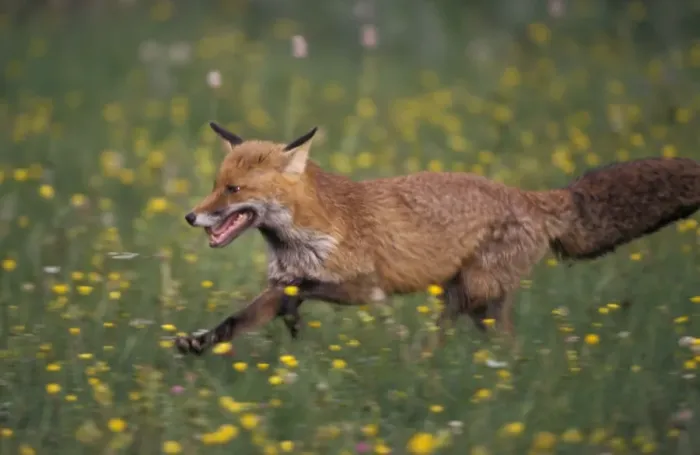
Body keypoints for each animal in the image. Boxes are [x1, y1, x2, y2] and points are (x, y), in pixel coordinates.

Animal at [175, 121, 700, 356]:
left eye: (234, 191)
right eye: (216, 183)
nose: (190, 216)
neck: (302, 233)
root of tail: (533, 196)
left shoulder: (365, 288)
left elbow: (297, 292)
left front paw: (293, 321)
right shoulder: (280, 281)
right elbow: (240, 318)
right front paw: (201, 342)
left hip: (472, 295)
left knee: (463, 341)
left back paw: (421, 364)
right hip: (469, 301)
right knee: (499, 346)